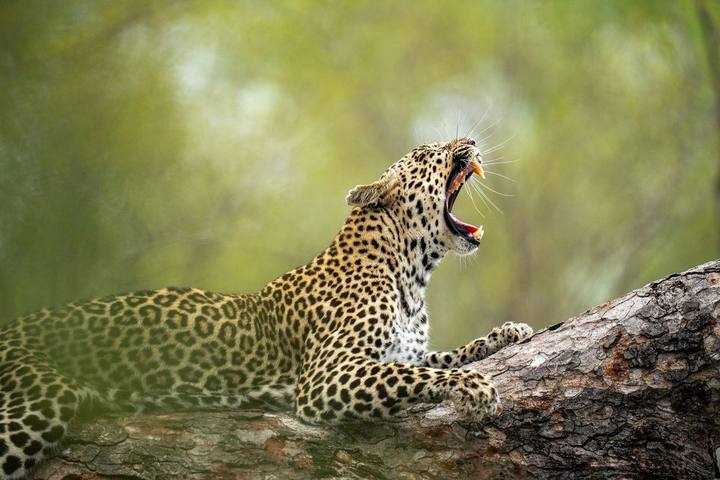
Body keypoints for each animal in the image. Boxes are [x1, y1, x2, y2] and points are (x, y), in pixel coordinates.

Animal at [0, 137, 533, 479]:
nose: (470, 140)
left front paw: (508, 333)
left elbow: (442, 356)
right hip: (38, 401)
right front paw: (477, 389)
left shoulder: (402, 351)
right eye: (428, 153)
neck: (412, 274)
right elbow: (422, 375)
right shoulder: (326, 377)